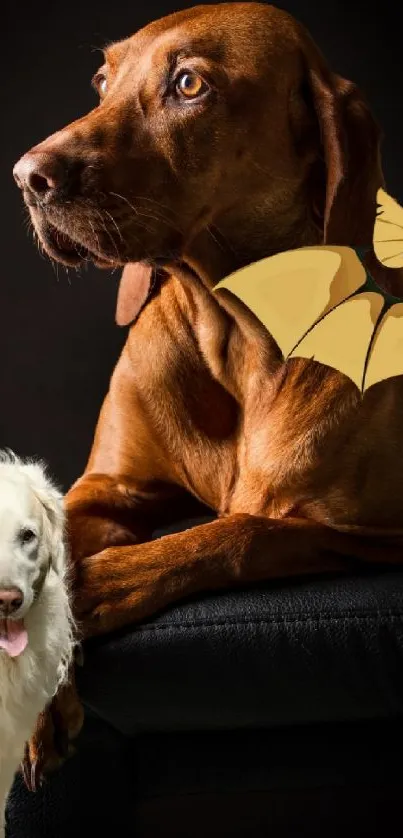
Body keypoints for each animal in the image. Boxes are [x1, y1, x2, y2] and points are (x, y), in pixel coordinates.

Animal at [12, 0, 403, 788]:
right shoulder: (107, 488)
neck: (233, 332)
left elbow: (245, 532)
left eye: (189, 84)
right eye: (103, 81)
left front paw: (102, 586)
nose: (25, 177)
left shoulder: (372, 533)